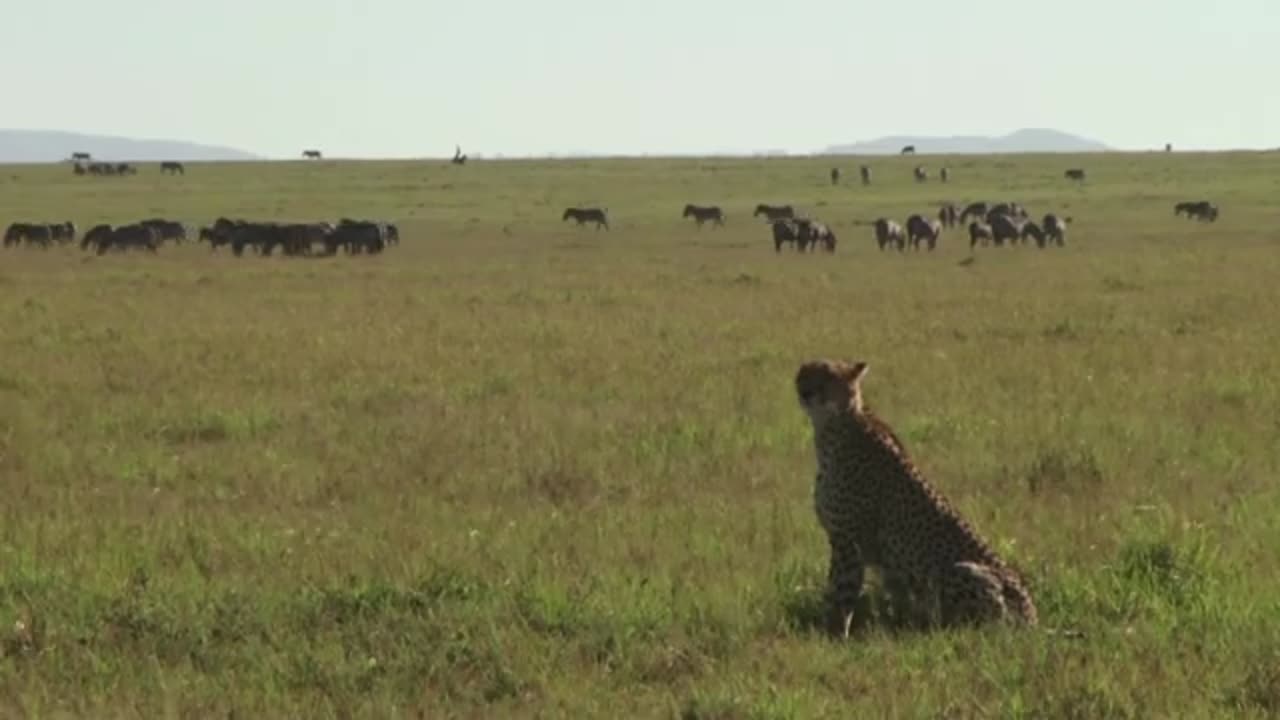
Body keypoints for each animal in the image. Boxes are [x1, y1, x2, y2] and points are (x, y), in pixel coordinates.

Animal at [793, 356, 1034, 632]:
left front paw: (832, 633)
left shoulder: (847, 541)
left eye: (827, 375)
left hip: (961, 570)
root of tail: (1032, 619)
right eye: (802, 374)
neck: (834, 425)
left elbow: (840, 592)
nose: (804, 391)